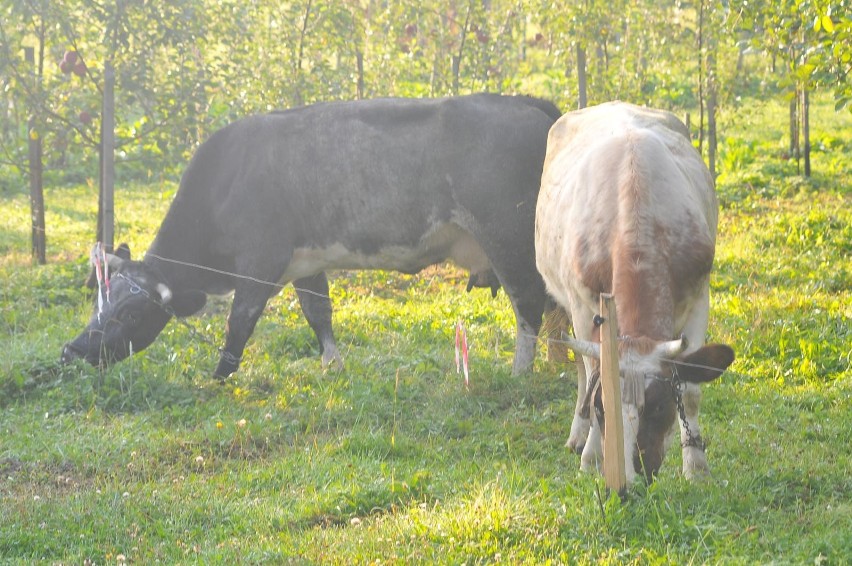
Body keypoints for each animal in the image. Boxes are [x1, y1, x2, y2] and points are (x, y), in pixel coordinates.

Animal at [65, 94, 560, 382]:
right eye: (100, 303)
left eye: (129, 314)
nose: (74, 349)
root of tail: (527, 104)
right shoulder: (305, 264)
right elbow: (317, 313)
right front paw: (332, 366)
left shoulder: (261, 261)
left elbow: (239, 322)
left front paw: (218, 377)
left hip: (507, 239)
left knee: (529, 304)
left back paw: (521, 372)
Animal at [536, 102, 736, 484]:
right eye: (602, 409)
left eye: (658, 406)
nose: (630, 478)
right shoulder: (583, 307)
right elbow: (593, 372)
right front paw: (592, 456)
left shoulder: (699, 299)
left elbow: (690, 390)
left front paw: (696, 467)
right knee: (581, 369)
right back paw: (577, 436)